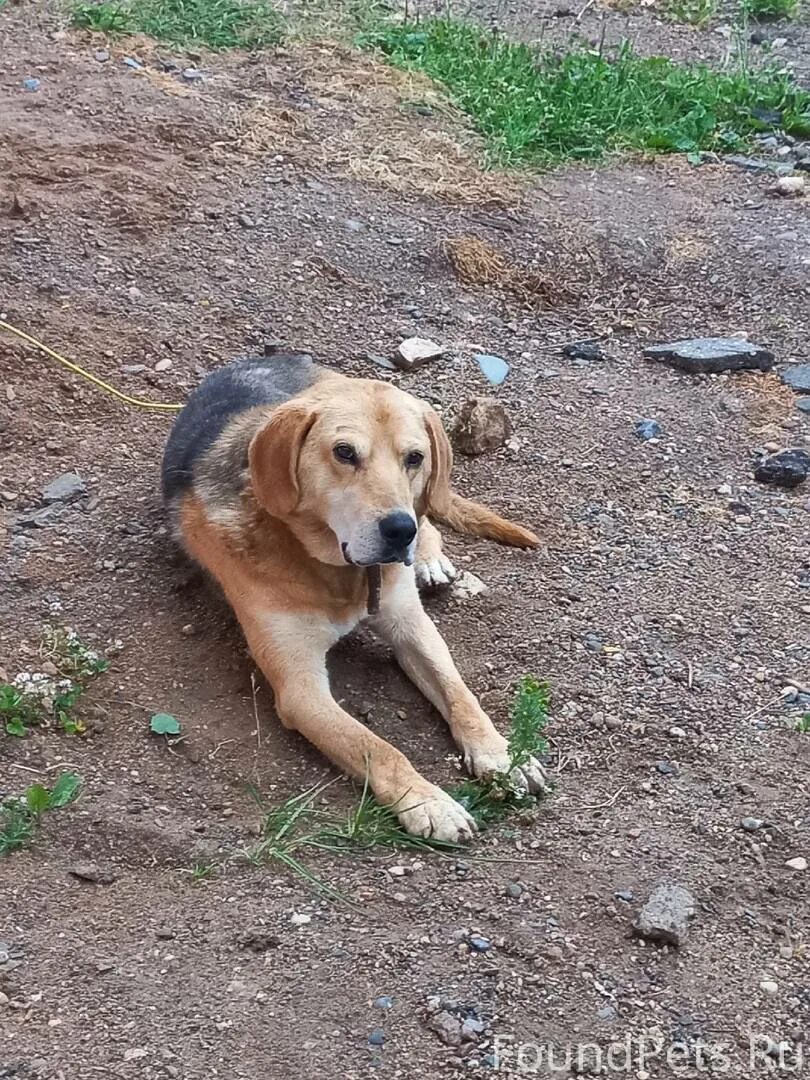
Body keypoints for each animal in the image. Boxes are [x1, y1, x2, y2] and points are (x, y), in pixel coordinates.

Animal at [162, 354, 548, 842]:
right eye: (344, 453)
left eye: (414, 458)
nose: (400, 531)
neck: (343, 575)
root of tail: (273, 356)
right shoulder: (302, 689)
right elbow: (376, 747)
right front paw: (429, 802)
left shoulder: (411, 626)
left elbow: (461, 694)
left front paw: (500, 753)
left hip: (424, 509)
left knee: (433, 513)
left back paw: (429, 558)